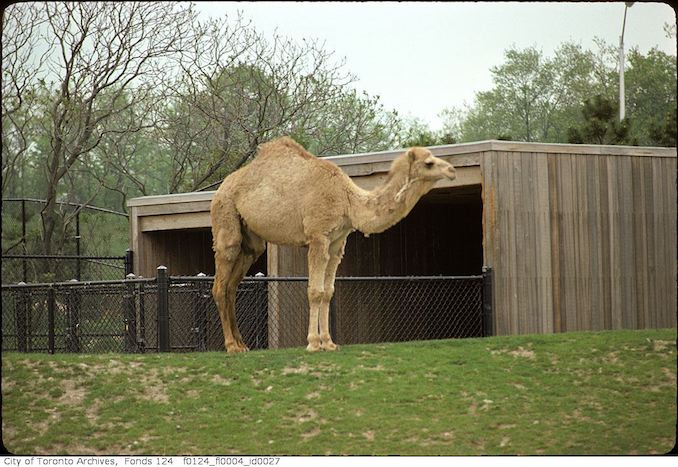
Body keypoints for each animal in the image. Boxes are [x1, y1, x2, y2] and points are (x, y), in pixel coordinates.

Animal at [212, 137, 456, 352]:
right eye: (429, 162)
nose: (452, 170)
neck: (347, 200)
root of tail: (221, 188)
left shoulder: (337, 243)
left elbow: (328, 292)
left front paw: (329, 343)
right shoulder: (318, 236)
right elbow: (315, 291)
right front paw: (313, 343)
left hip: (251, 243)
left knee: (233, 285)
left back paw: (242, 345)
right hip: (226, 218)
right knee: (220, 283)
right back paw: (231, 346)